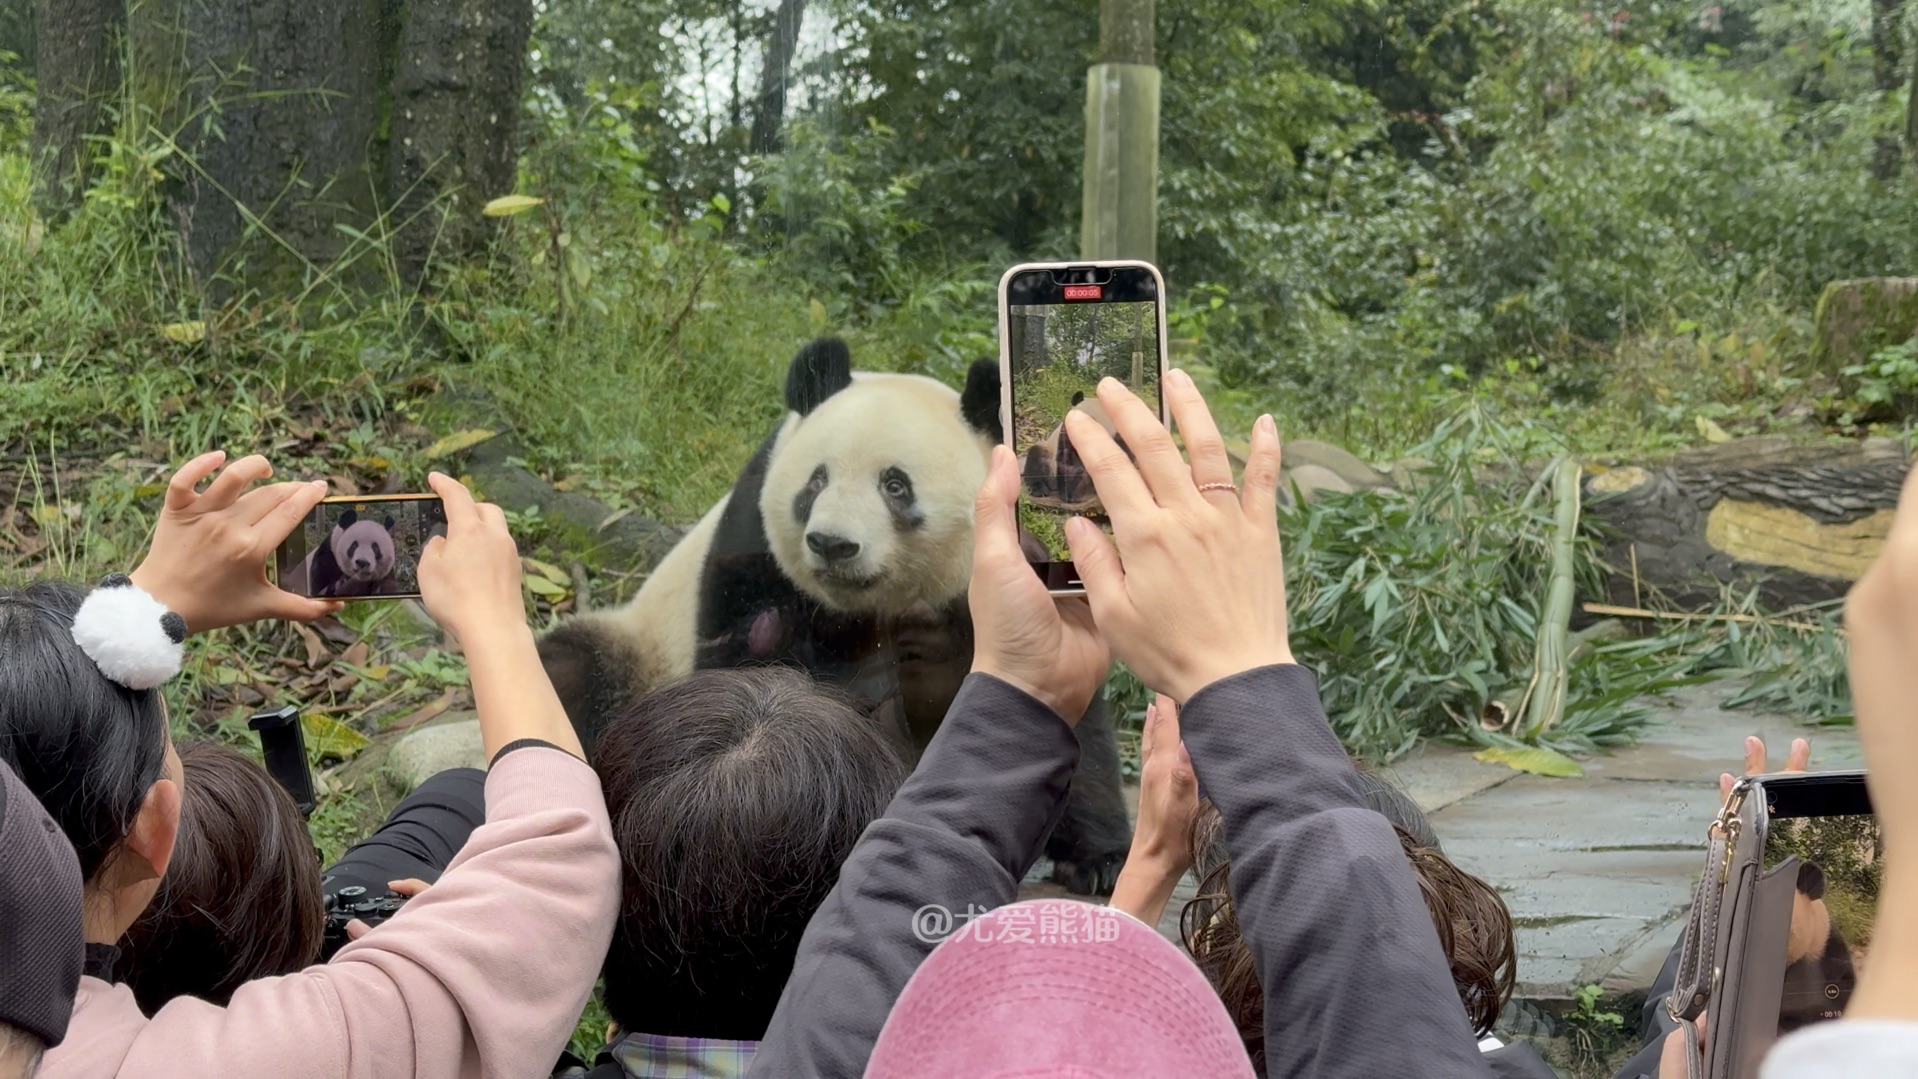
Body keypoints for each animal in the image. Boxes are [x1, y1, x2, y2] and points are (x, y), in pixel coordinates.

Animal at [540, 337, 1127, 896]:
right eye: (815, 482)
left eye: (895, 485)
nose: (832, 544)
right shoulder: (750, 548)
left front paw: (1098, 860)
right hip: (637, 651)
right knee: (572, 671)